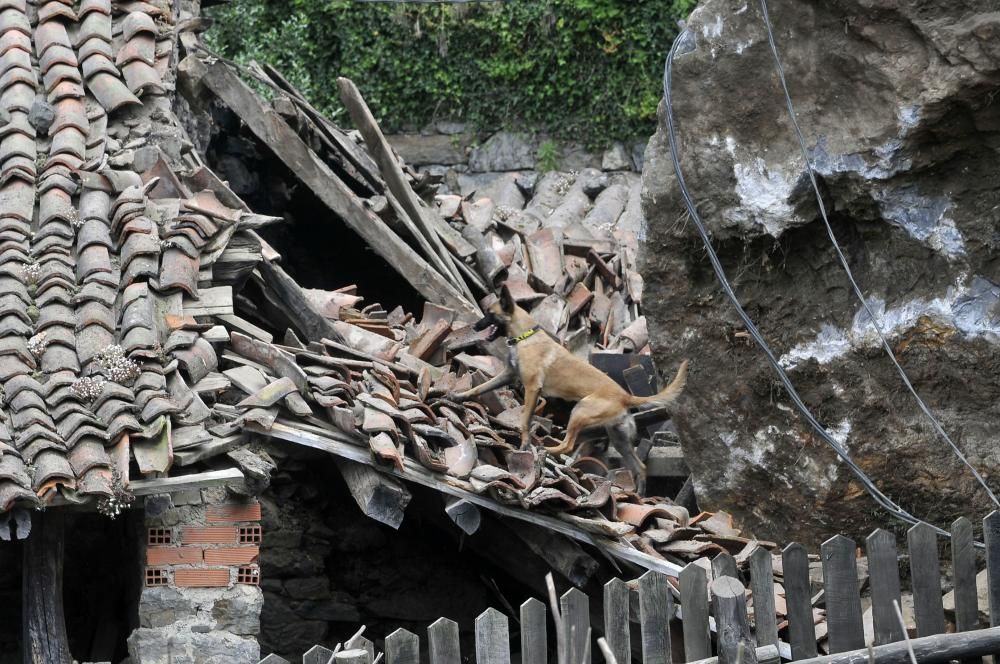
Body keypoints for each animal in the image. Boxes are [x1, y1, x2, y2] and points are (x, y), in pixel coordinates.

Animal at [454, 282, 688, 482]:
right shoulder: (508, 375)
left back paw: (547, 449)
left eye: (489, 314)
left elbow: (524, 420)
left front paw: (525, 443)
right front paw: (459, 396)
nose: (474, 326)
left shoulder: (532, 388)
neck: (526, 336)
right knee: (639, 467)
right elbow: (480, 387)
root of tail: (626, 396)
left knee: (568, 445)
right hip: (618, 438)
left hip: (580, 411)